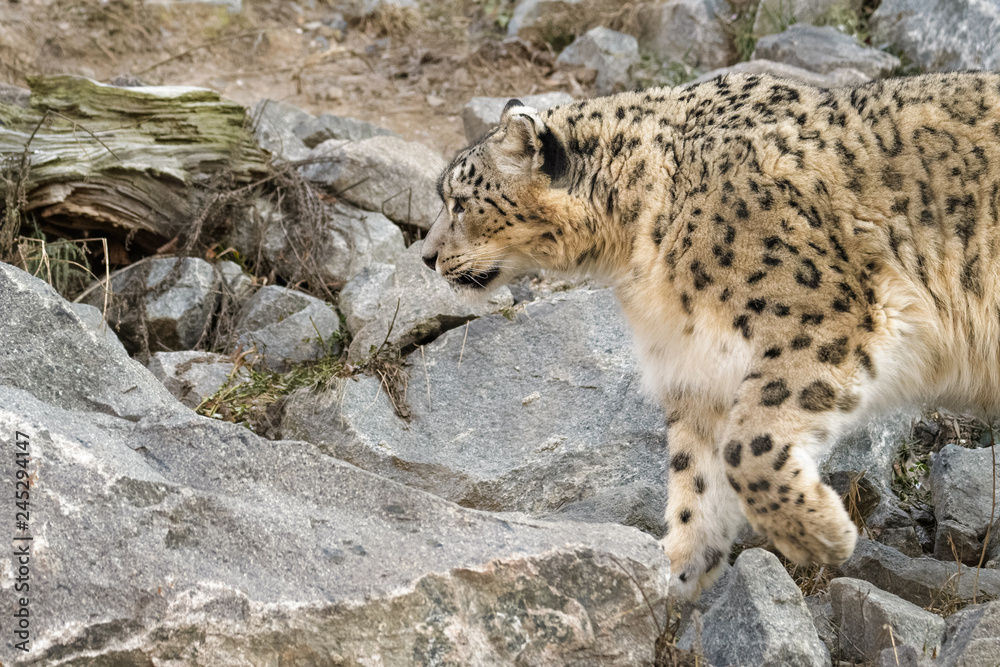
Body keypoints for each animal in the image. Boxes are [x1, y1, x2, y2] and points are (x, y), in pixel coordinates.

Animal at [423, 71, 1000, 599]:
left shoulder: (824, 317)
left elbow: (748, 448)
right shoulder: (696, 368)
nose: (425, 256)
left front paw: (820, 536)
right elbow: (696, 475)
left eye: (460, 201)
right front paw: (676, 570)